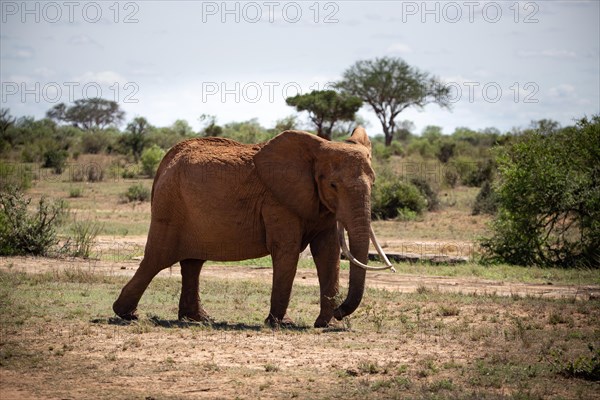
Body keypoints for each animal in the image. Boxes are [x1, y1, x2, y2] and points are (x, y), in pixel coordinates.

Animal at [113, 126, 394, 326]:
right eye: (334, 185)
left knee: (192, 263)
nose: (340, 311)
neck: (315, 150)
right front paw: (282, 324)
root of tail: (164, 162)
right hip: (170, 206)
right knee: (157, 259)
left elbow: (328, 255)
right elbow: (287, 250)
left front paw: (328, 325)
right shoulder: (276, 201)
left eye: (374, 182)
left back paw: (199, 319)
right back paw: (127, 315)